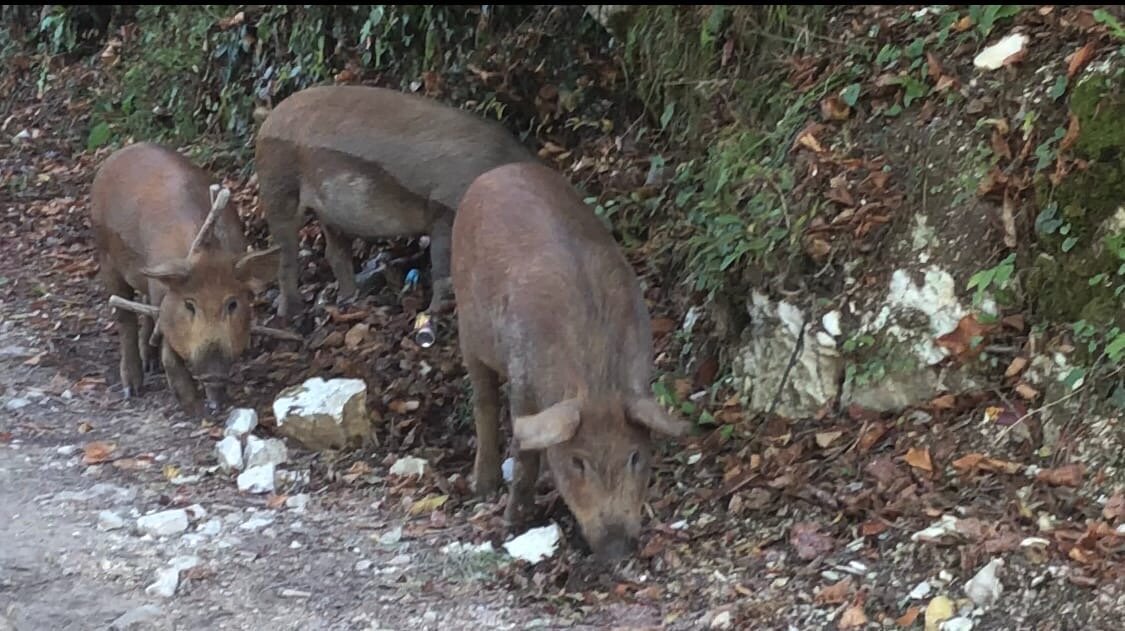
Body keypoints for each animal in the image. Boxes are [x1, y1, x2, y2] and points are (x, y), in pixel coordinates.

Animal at [90, 143, 279, 418]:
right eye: (189, 304)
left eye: (232, 303)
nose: (212, 370)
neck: (208, 252)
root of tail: (122, 151)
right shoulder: (165, 299)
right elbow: (170, 353)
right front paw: (194, 407)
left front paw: (216, 402)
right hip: (106, 257)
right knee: (124, 318)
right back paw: (132, 389)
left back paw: (151, 365)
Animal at [255, 83, 535, 319]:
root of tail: (266, 122)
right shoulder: (444, 208)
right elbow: (442, 263)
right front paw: (434, 311)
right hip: (276, 186)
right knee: (286, 251)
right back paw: (290, 314)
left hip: (328, 213)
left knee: (334, 251)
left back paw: (352, 299)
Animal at [452, 159, 688, 557]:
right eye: (578, 462)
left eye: (634, 456)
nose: (617, 548)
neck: (595, 381)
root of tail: (497, 171)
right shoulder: (523, 377)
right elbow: (524, 453)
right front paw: (513, 522)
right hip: (467, 326)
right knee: (482, 400)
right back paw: (482, 487)